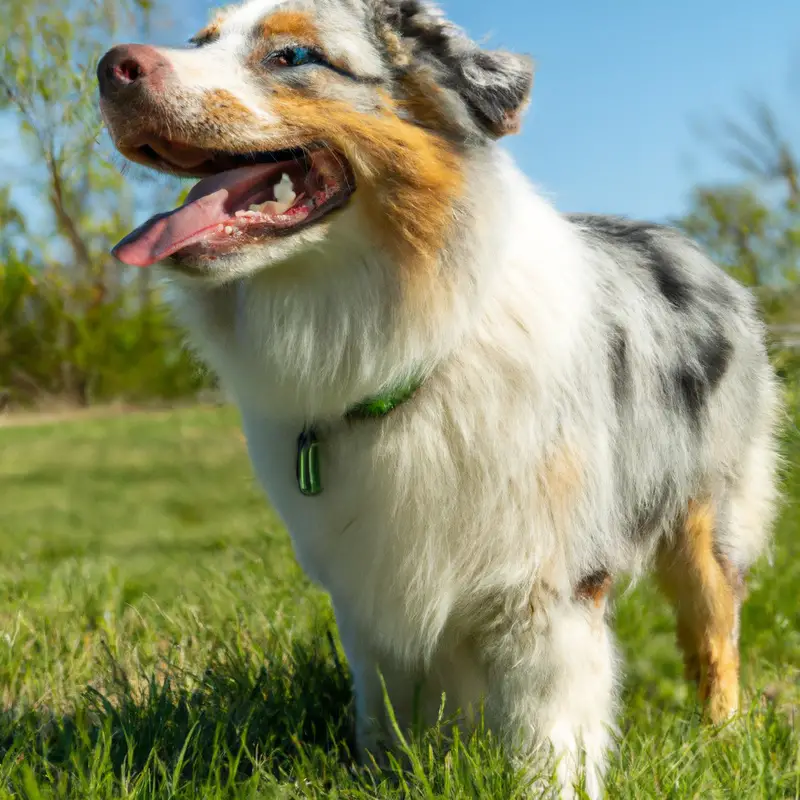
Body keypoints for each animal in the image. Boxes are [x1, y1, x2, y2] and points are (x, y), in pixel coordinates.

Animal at [97, 3, 780, 796]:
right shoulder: (372, 584)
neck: (409, 339)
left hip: (710, 517)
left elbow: (551, 735)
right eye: (200, 40)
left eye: (294, 55)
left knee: (714, 637)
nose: (112, 67)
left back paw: (722, 738)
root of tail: (689, 246)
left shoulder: (549, 585)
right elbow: (387, 712)